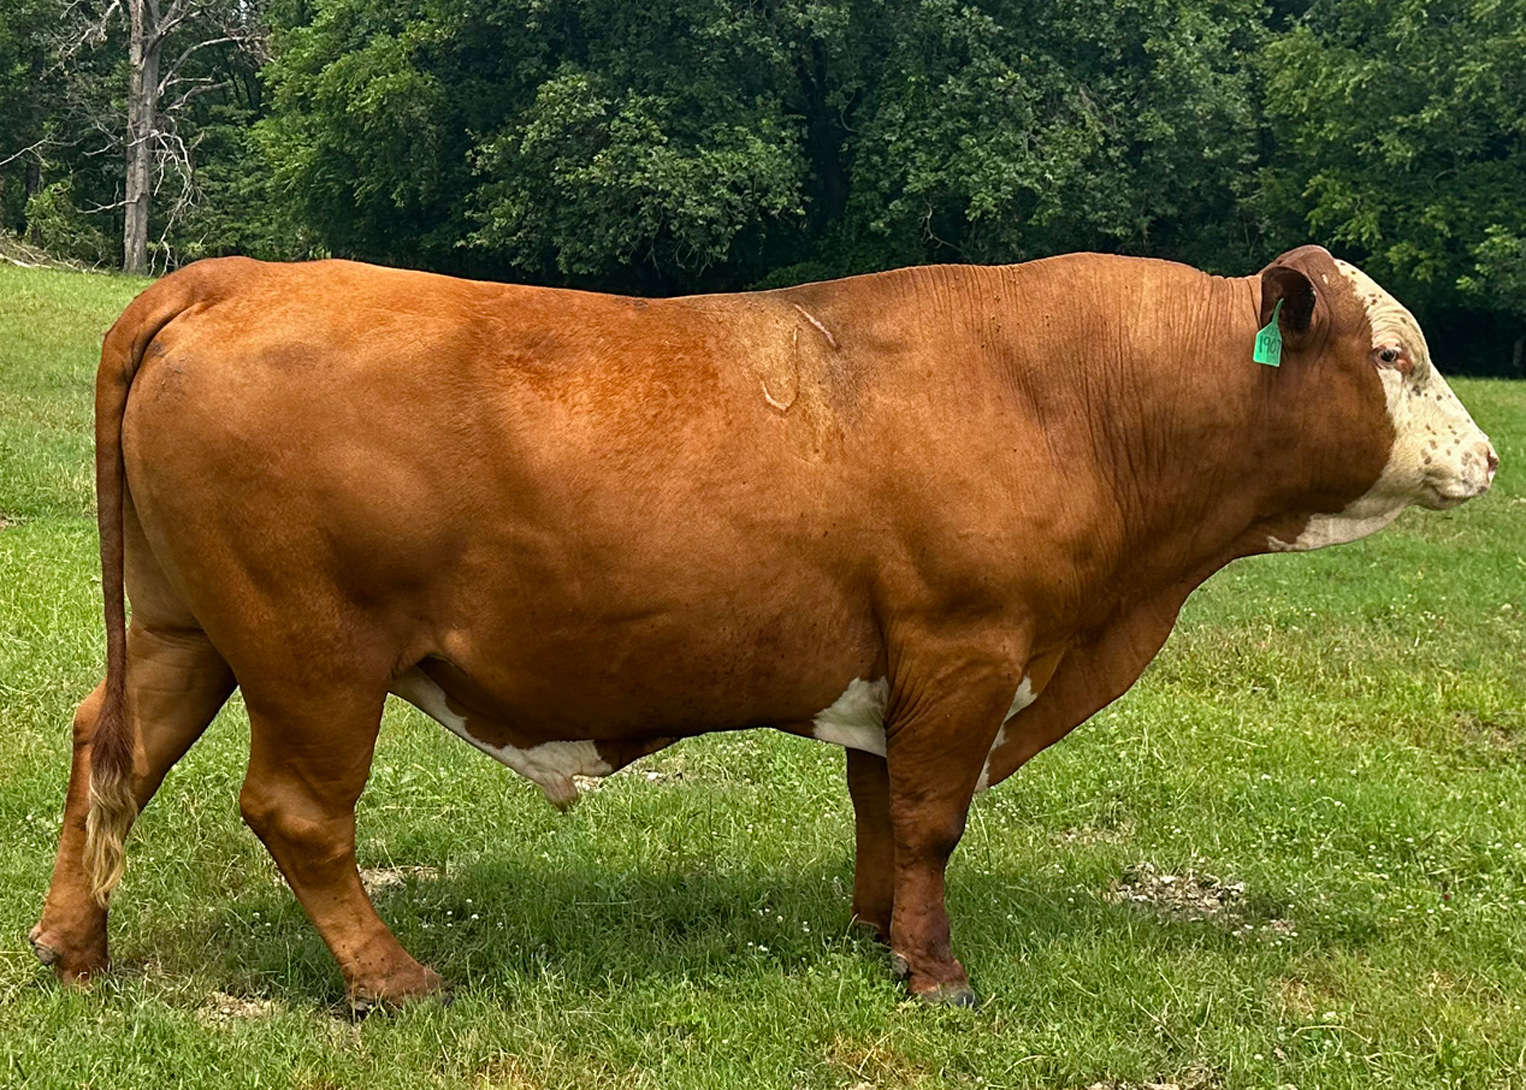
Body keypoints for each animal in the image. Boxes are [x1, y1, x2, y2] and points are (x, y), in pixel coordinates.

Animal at [30, 246, 1496, 1009]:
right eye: (1392, 355)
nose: (1486, 459)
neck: (1079, 396)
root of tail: (238, 273)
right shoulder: (968, 644)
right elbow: (931, 816)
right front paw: (935, 972)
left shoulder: (900, 666)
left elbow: (881, 807)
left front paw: (874, 932)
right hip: (310, 649)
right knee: (294, 809)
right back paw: (392, 976)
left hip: (184, 628)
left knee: (112, 748)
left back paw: (73, 948)